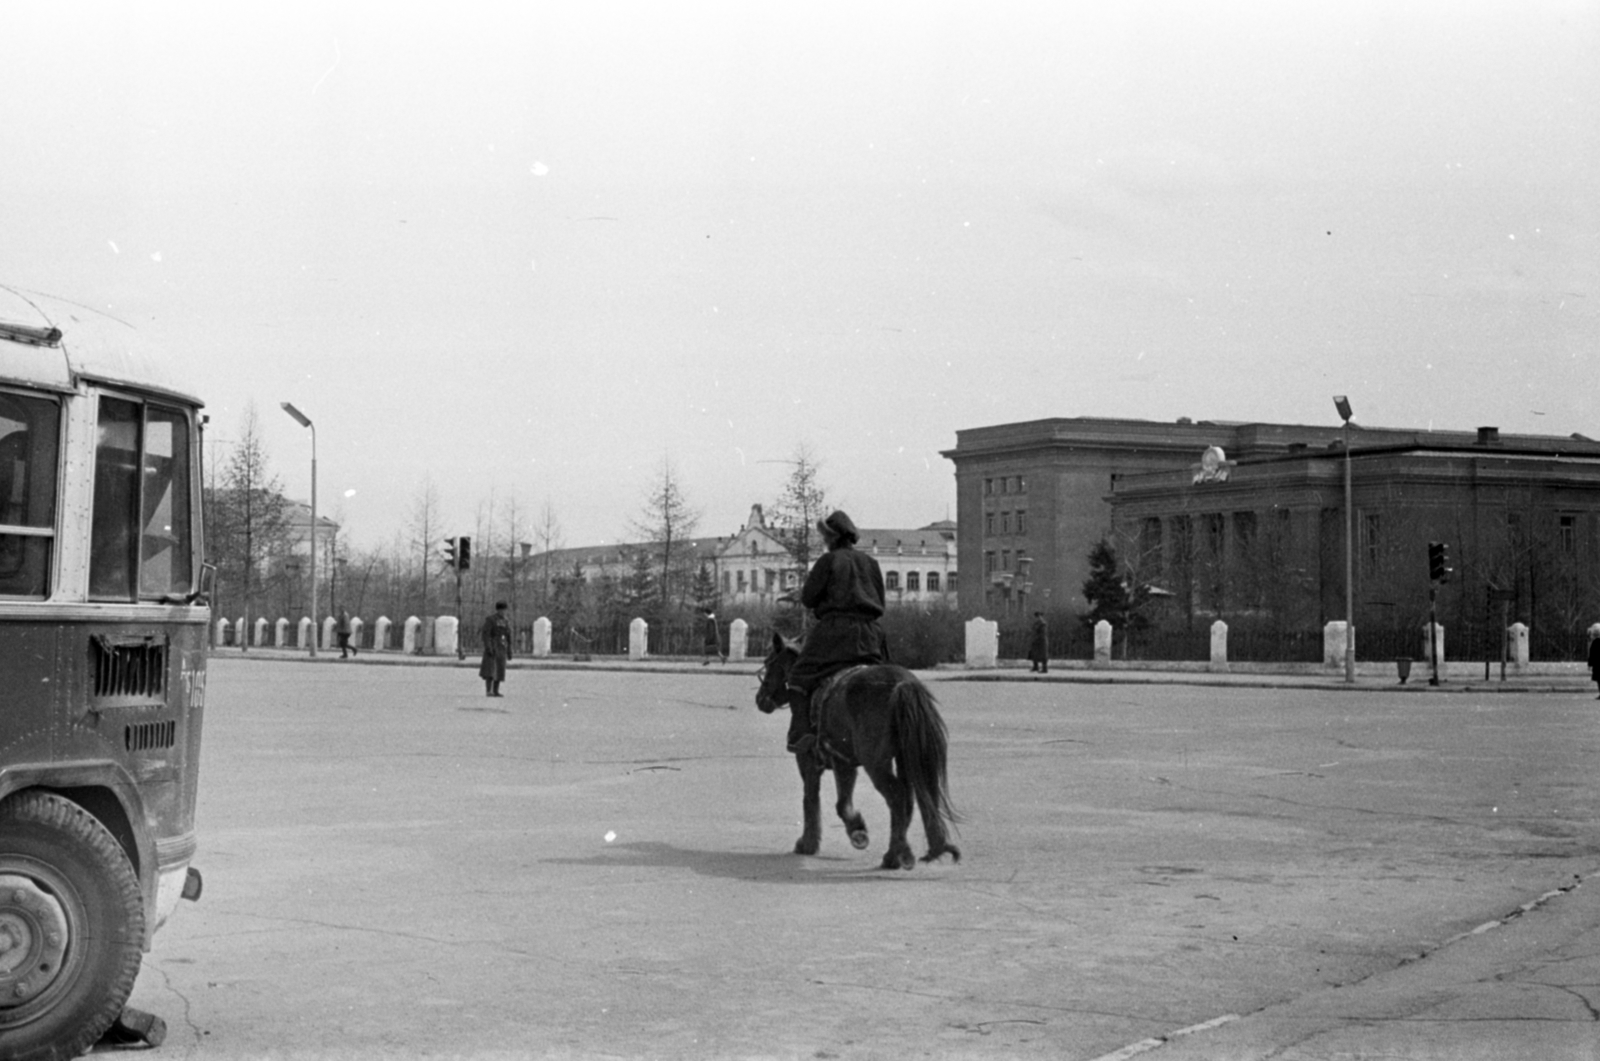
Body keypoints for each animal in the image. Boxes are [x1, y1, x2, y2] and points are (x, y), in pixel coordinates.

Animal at [752, 630, 960, 870]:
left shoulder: (809, 760)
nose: (760, 699)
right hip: (903, 759)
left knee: (897, 796)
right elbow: (840, 802)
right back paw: (895, 852)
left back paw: (897, 854)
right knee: (906, 800)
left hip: (876, 764)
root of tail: (902, 685)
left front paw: (813, 842)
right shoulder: (844, 761)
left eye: (769, 662)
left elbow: (813, 800)